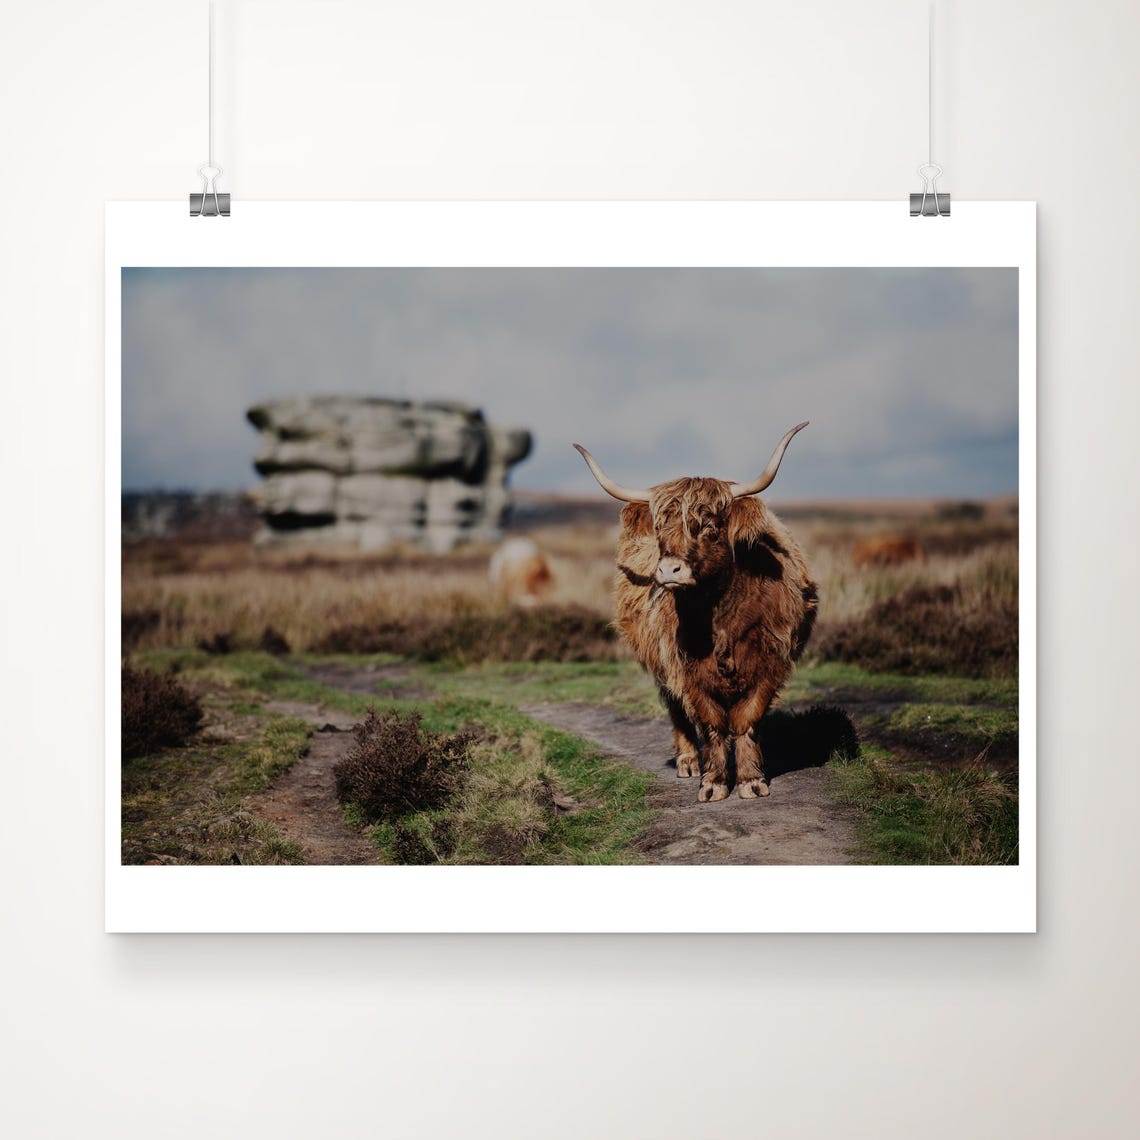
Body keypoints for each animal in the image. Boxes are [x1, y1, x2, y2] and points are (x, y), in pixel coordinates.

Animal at [574, 423, 817, 802]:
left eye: (711, 528)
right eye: (661, 530)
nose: (668, 570)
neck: (719, 617)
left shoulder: (771, 661)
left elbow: (747, 718)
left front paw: (751, 780)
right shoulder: (686, 668)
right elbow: (711, 722)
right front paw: (713, 782)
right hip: (660, 665)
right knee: (676, 710)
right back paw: (688, 761)